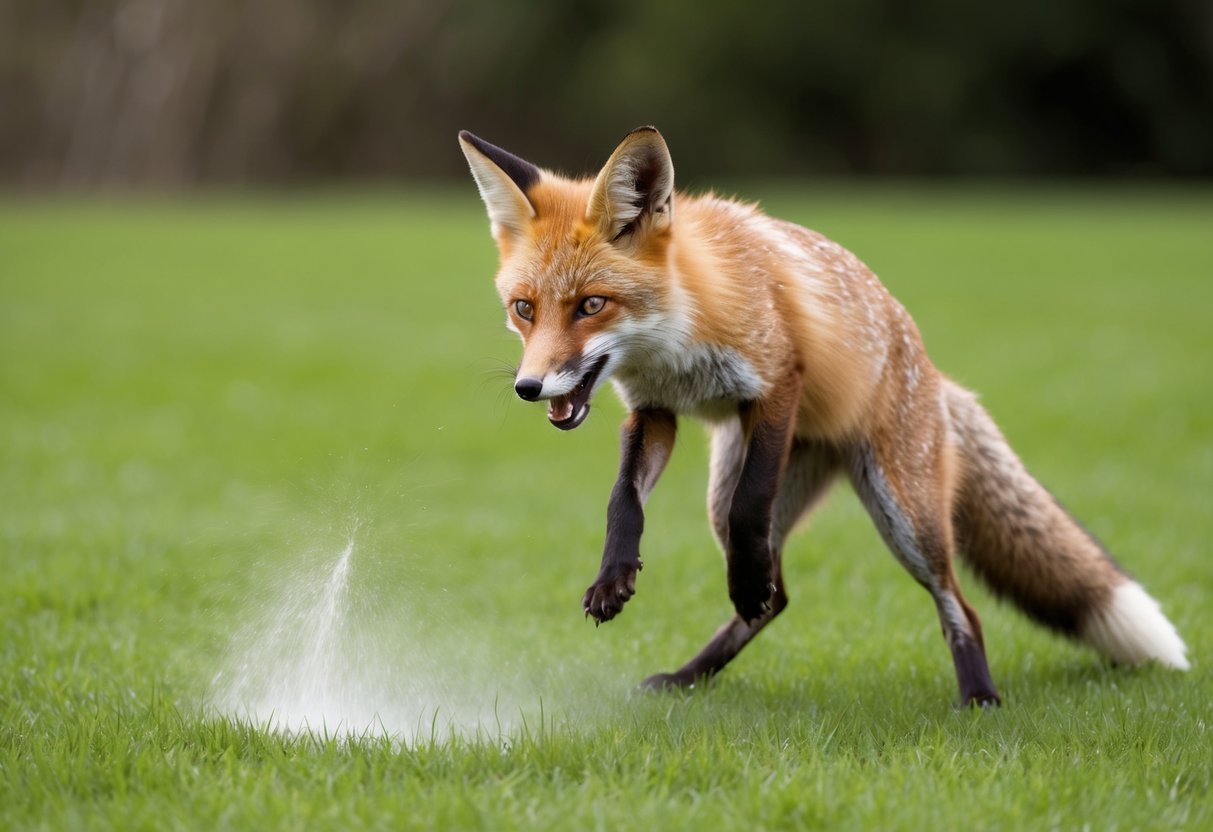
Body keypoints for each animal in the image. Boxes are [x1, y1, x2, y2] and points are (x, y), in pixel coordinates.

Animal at [457, 125, 1189, 705]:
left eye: (590, 305)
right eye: (524, 309)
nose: (528, 387)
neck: (677, 340)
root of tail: (934, 374)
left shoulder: (779, 382)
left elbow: (752, 503)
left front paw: (733, 582)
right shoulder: (654, 411)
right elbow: (623, 504)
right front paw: (613, 578)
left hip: (905, 515)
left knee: (959, 606)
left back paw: (979, 697)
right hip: (728, 493)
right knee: (776, 598)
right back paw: (690, 675)